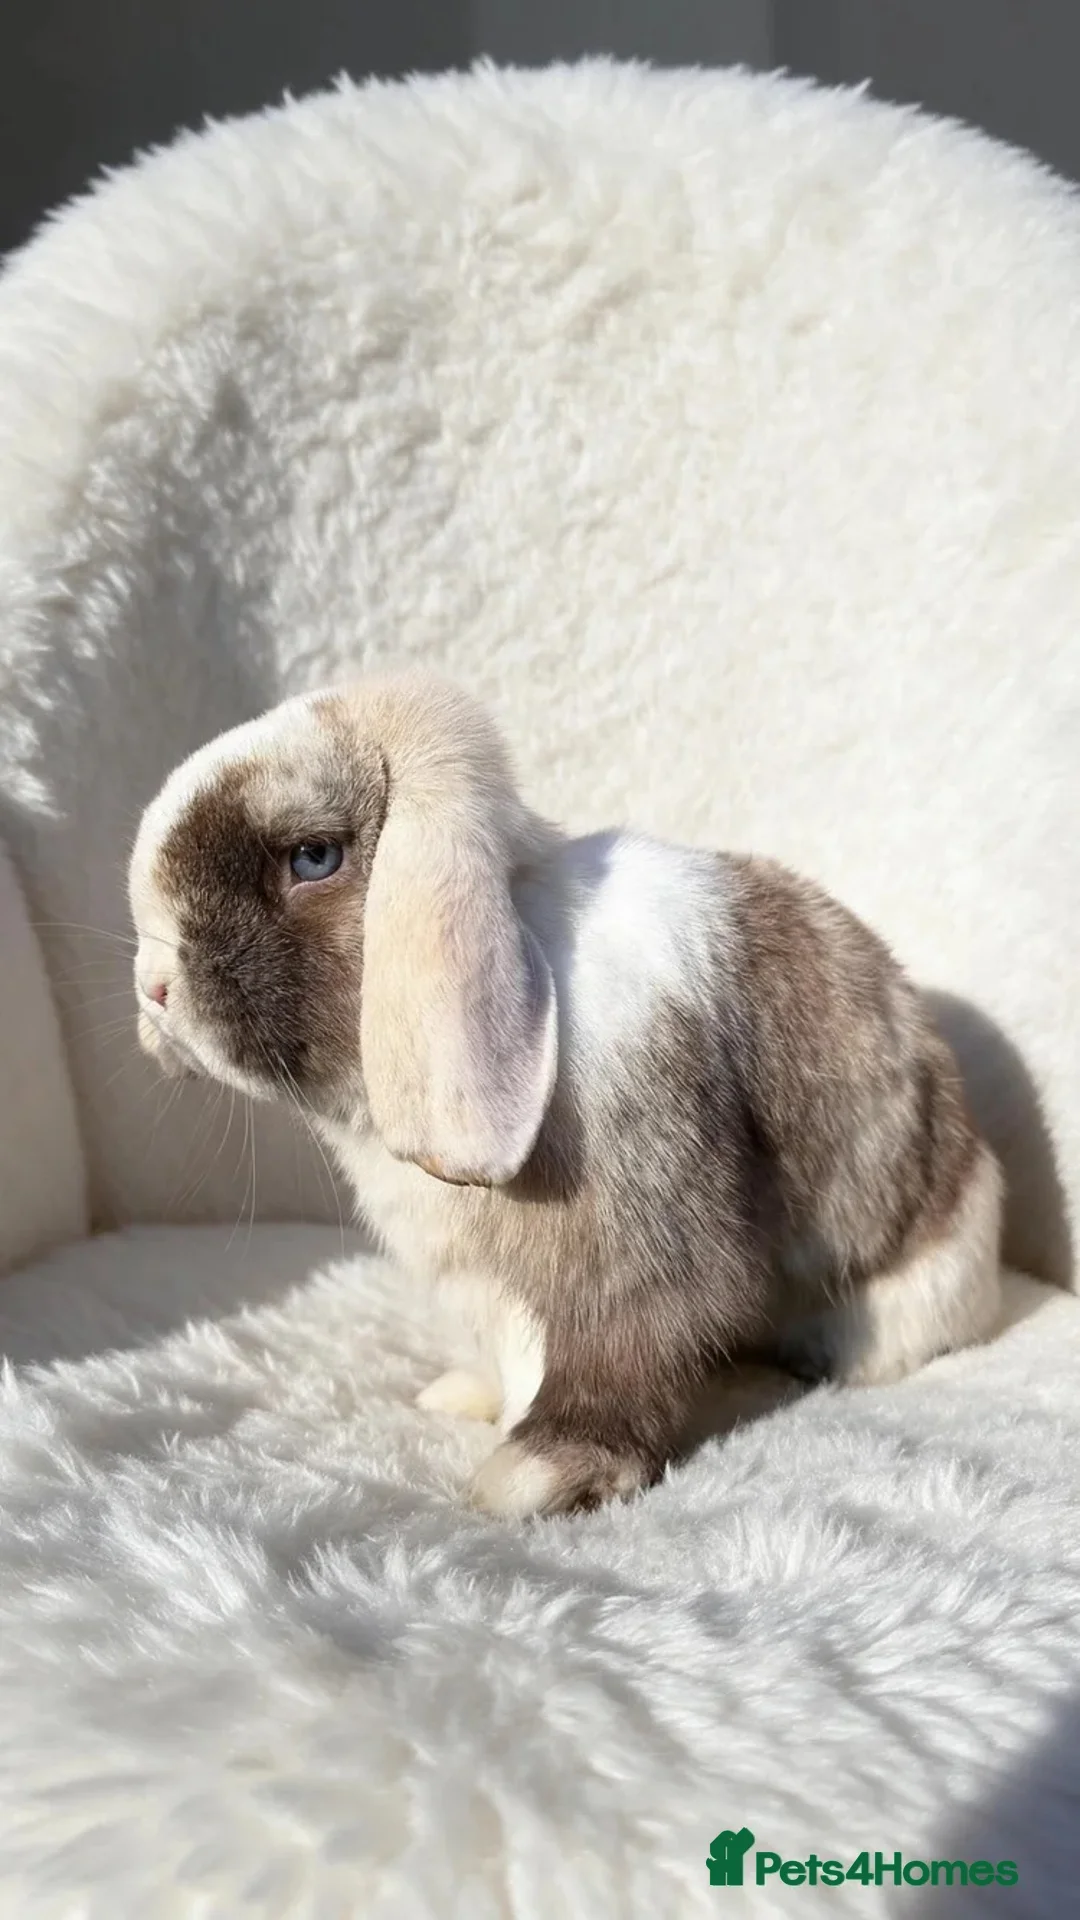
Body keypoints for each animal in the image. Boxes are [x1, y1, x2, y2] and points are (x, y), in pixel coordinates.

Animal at [129, 672, 1003, 1518]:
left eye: (312, 857)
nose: (156, 989)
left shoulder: (637, 1247)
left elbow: (624, 1346)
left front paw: (532, 1478)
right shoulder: (488, 1283)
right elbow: (512, 1352)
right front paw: (471, 1401)